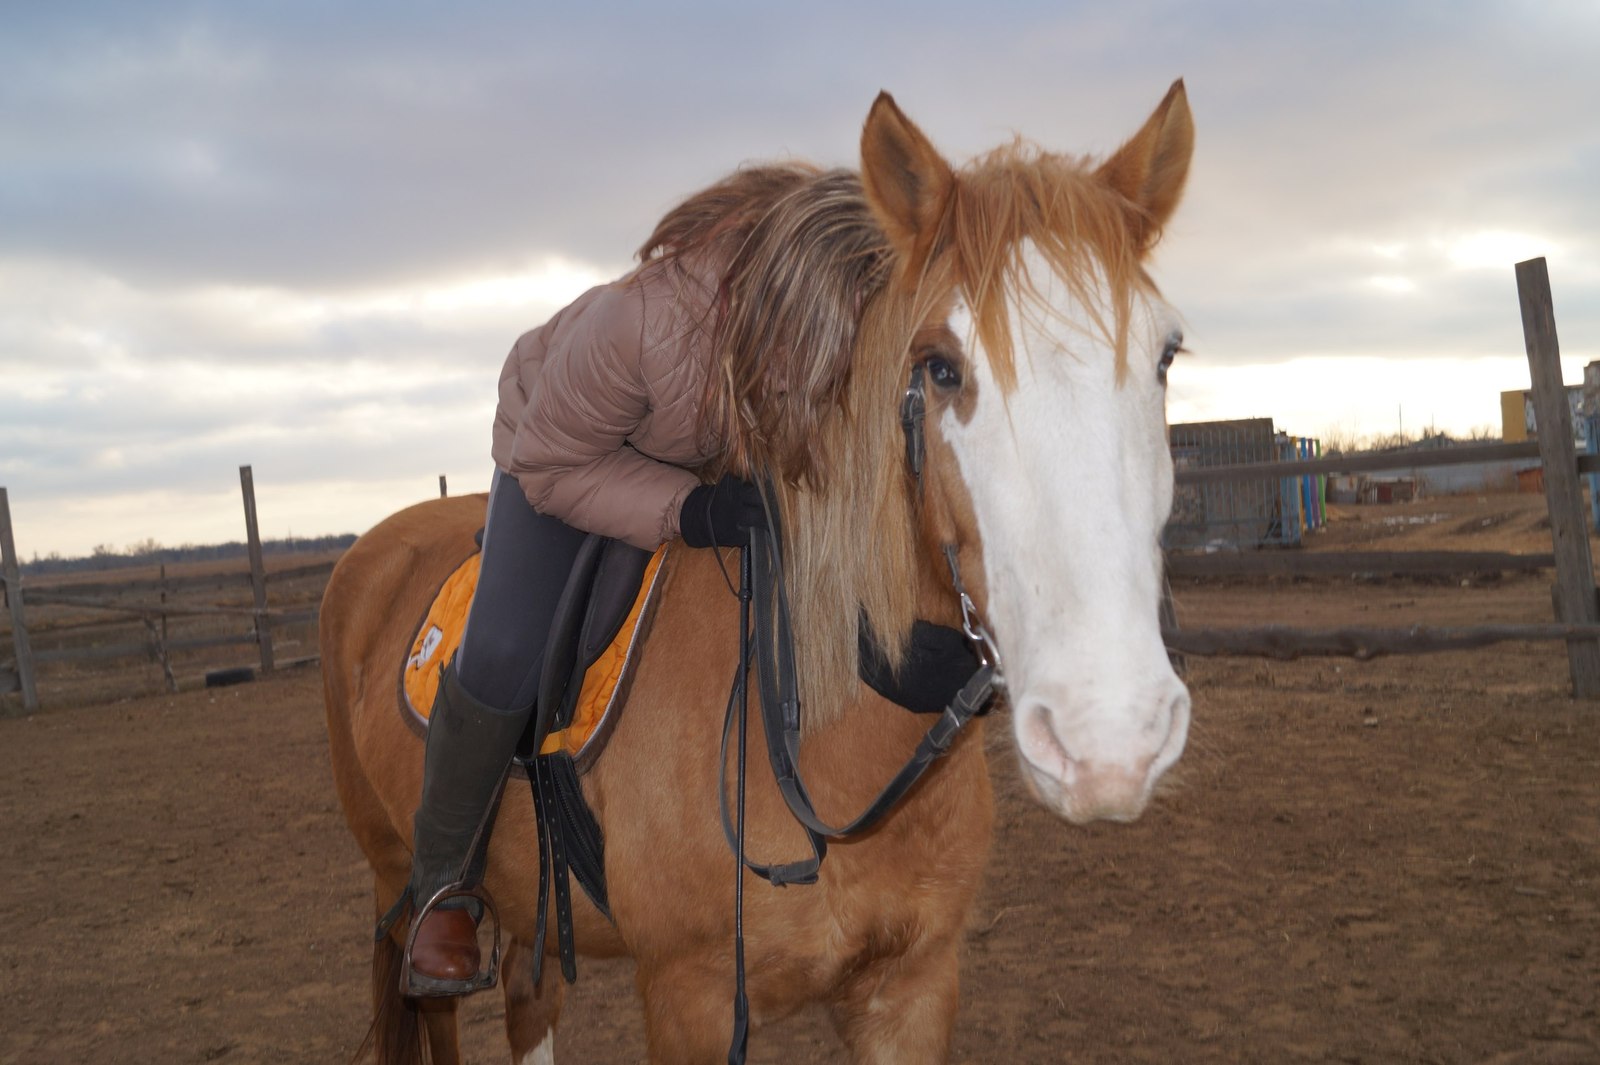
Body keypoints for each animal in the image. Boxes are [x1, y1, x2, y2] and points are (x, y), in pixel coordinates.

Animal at [324, 85, 1196, 1061]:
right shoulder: (692, 997)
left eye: (1166, 355)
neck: (826, 740)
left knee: (528, 989)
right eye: (940, 367)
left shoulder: (912, 985)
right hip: (397, 874)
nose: (1108, 736)